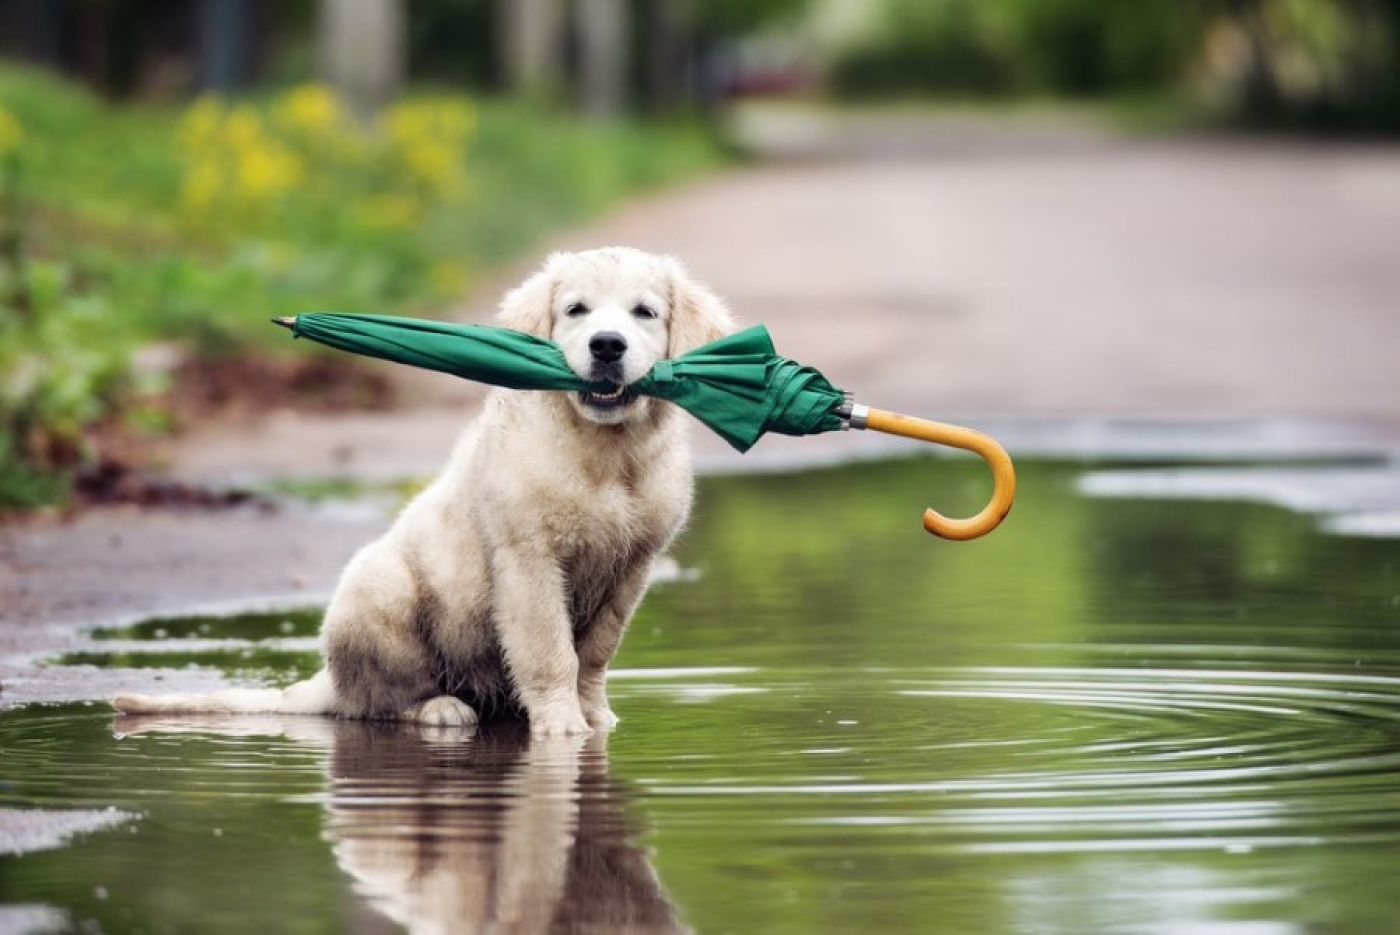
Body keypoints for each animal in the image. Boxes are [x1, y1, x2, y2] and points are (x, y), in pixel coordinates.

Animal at [112, 250, 733, 739]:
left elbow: (595, 653)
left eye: (644, 313)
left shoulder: (632, 566)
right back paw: (437, 709)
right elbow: (550, 651)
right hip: (379, 588)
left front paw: (596, 716)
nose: (607, 346)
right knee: (375, 703)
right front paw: (562, 727)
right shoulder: (528, 559)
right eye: (576, 311)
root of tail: (328, 680)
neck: (605, 451)